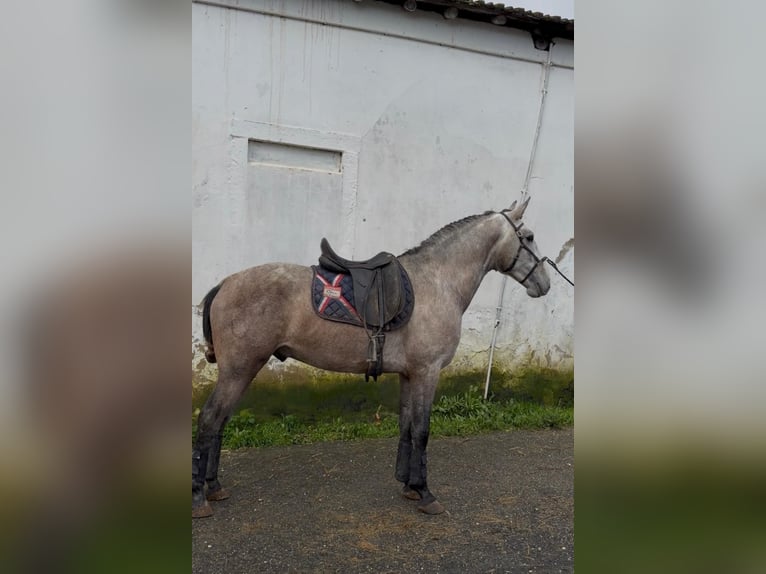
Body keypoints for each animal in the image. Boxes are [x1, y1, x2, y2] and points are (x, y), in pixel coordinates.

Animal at [193, 198, 551, 517]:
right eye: (530, 236)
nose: (545, 284)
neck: (438, 282)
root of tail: (225, 283)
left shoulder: (409, 374)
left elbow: (407, 426)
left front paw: (408, 485)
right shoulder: (427, 372)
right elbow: (422, 431)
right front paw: (426, 493)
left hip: (241, 371)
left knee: (220, 421)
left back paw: (214, 486)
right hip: (239, 370)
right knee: (209, 419)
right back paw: (200, 498)